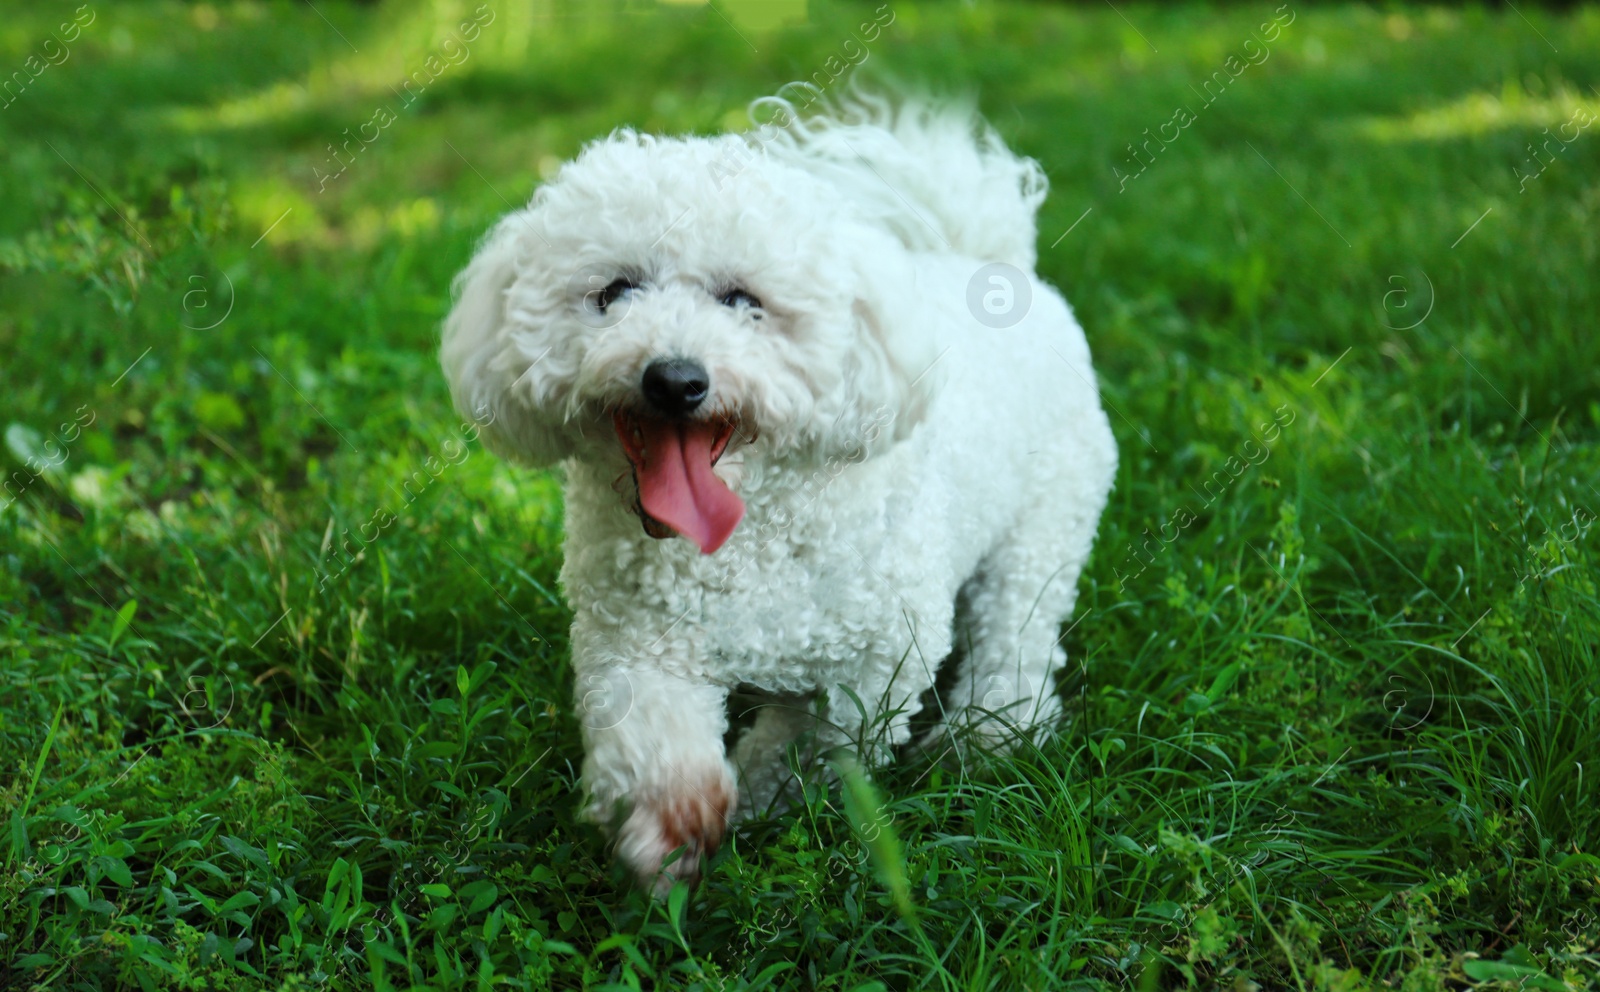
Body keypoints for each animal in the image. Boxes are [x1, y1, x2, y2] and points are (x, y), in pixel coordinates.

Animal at [438, 92, 1113, 889]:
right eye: (614, 292)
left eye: (743, 300)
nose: (675, 379)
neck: (742, 542)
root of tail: (985, 260)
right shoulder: (635, 641)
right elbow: (653, 733)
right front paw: (672, 821)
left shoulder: (879, 659)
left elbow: (815, 746)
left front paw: (766, 805)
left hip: (1043, 526)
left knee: (1017, 631)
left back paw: (988, 737)